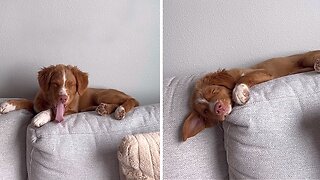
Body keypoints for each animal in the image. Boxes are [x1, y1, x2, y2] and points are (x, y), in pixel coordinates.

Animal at [0, 64, 139, 126]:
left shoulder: (72, 110)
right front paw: (7, 105)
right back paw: (103, 108)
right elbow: (24, 100)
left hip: (101, 95)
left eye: (71, 84)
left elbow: (53, 111)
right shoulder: (36, 105)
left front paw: (41, 117)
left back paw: (120, 110)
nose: (63, 98)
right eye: (55, 84)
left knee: (130, 100)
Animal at [181, 50, 320, 141]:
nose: (218, 108)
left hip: (306, 57)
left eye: (214, 91)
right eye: (205, 111)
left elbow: (243, 78)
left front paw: (239, 92)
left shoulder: (263, 72)